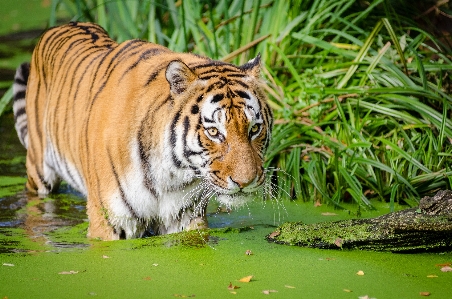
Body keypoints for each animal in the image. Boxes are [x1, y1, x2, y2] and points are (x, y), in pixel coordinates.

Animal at [12, 21, 274, 241]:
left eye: (254, 128)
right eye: (213, 132)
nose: (245, 182)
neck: (172, 175)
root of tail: (63, 24)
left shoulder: (185, 218)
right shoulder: (109, 221)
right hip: (39, 172)